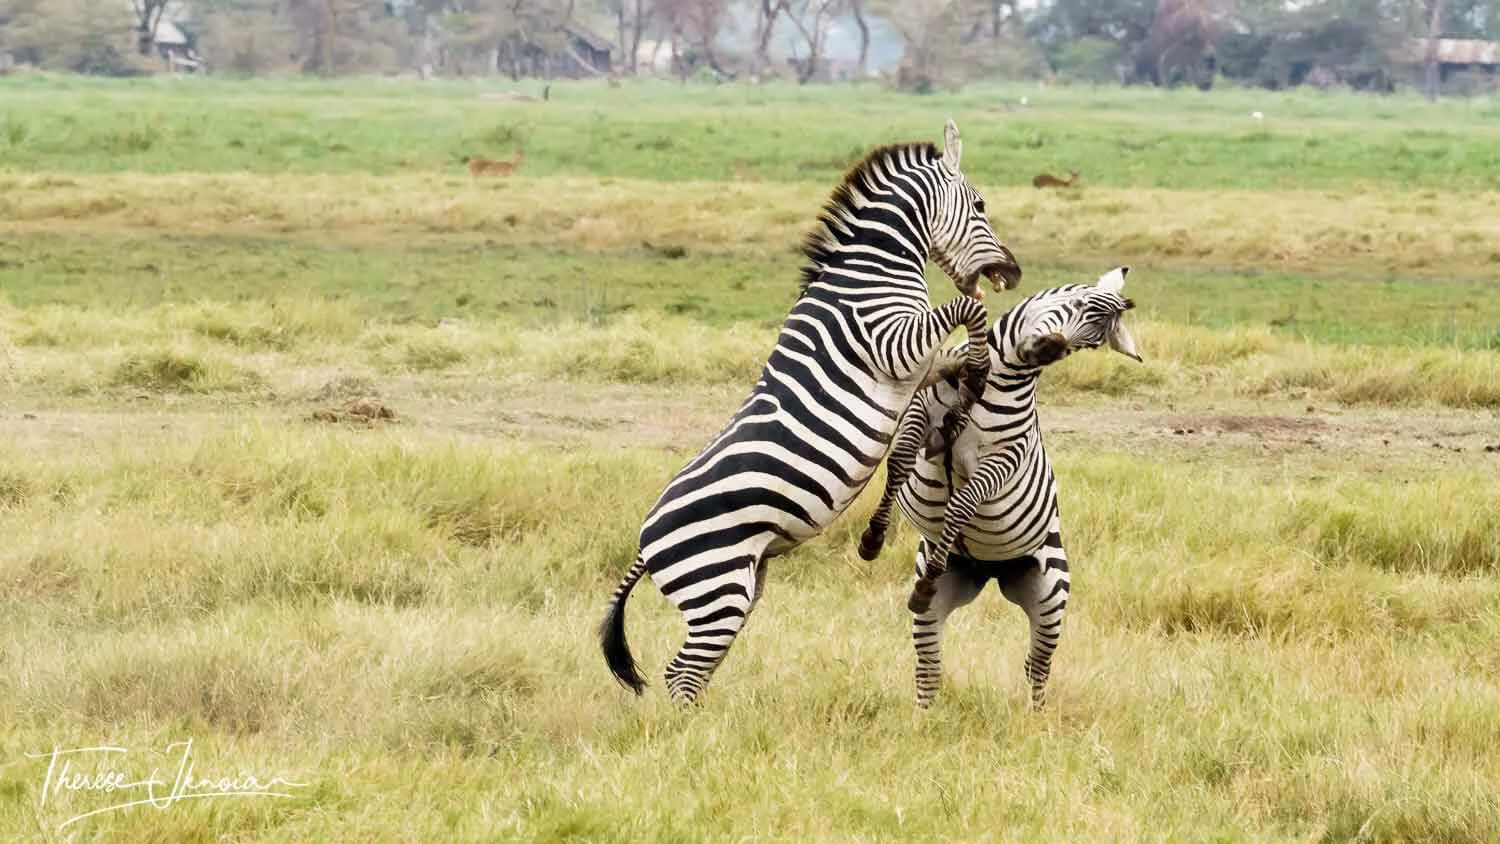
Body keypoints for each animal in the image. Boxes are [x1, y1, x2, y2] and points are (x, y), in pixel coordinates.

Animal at [600, 120, 1024, 705]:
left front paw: (970, 379)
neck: (873, 270)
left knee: (687, 671)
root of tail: (645, 543)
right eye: (980, 204)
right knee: (682, 673)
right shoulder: (891, 344)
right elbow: (969, 309)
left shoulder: (917, 364)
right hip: (717, 589)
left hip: (737, 589)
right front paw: (981, 369)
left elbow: (953, 354)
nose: (1014, 271)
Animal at [856, 267, 1141, 708]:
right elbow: (900, 461)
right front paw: (872, 538)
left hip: (1050, 596)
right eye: (1079, 305)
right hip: (941, 601)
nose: (1049, 349)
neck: (995, 378)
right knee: (929, 664)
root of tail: (988, 571)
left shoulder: (1003, 458)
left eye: (1089, 344)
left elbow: (962, 503)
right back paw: (924, 715)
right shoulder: (924, 414)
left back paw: (1034, 717)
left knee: (1036, 666)